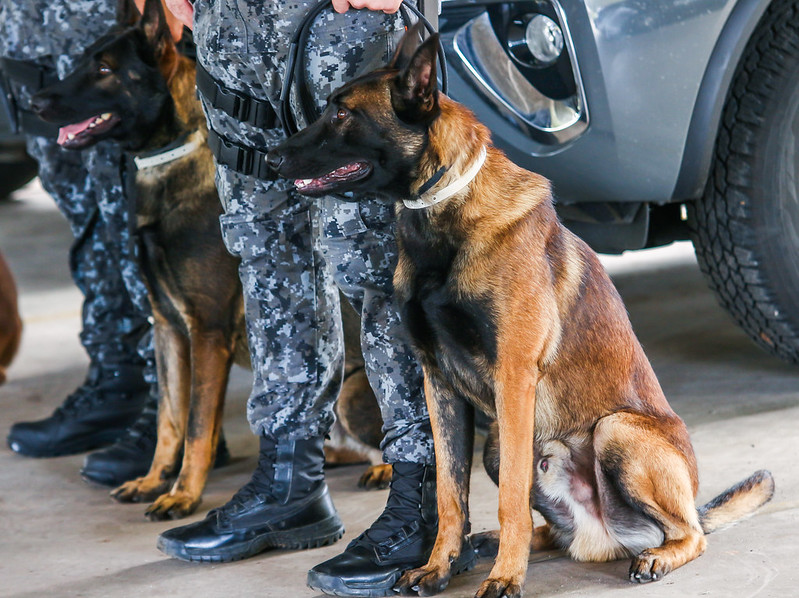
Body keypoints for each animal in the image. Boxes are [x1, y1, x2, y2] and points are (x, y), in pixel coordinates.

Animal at [32, 0, 390, 524]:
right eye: (80, 62)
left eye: (104, 71)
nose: (35, 103)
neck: (165, 161)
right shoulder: (167, 328)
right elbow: (169, 418)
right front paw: (153, 479)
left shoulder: (206, 331)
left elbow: (198, 424)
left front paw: (183, 494)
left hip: (349, 392)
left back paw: (383, 469)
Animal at [268, 24, 776, 598]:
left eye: (341, 114)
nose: (269, 157)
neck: (442, 213)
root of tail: (606, 537)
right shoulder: (438, 384)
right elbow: (450, 493)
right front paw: (440, 565)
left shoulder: (513, 379)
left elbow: (510, 494)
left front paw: (506, 577)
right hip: (496, 444)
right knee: (553, 531)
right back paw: (488, 546)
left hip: (615, 432)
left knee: (691, 533)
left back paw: (654, 556)